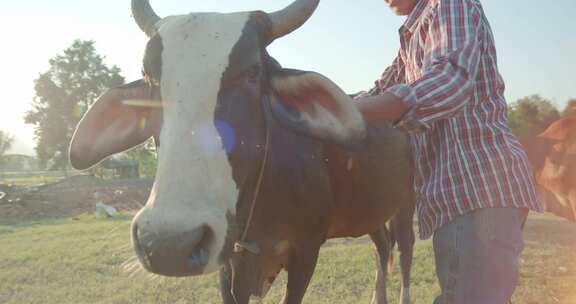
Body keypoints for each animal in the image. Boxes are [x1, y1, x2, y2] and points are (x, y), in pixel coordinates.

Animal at [70, 1, 414, 302]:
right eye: (150, 77)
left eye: (251, 72)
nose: (169, 245)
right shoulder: (231, 259)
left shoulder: (306, 251)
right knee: (383, 247)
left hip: (408, 202)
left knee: (405, 251)